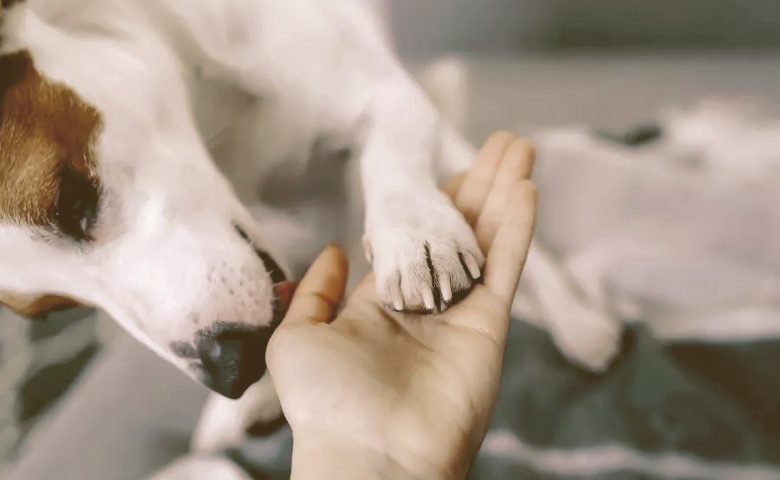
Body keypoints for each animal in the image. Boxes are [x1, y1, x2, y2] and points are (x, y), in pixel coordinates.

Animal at [0, 0, 620, 474]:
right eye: (55, 309)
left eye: (72, 201)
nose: (232, 373)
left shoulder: (385, 96)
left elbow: (391, 161)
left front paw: (414, 235)